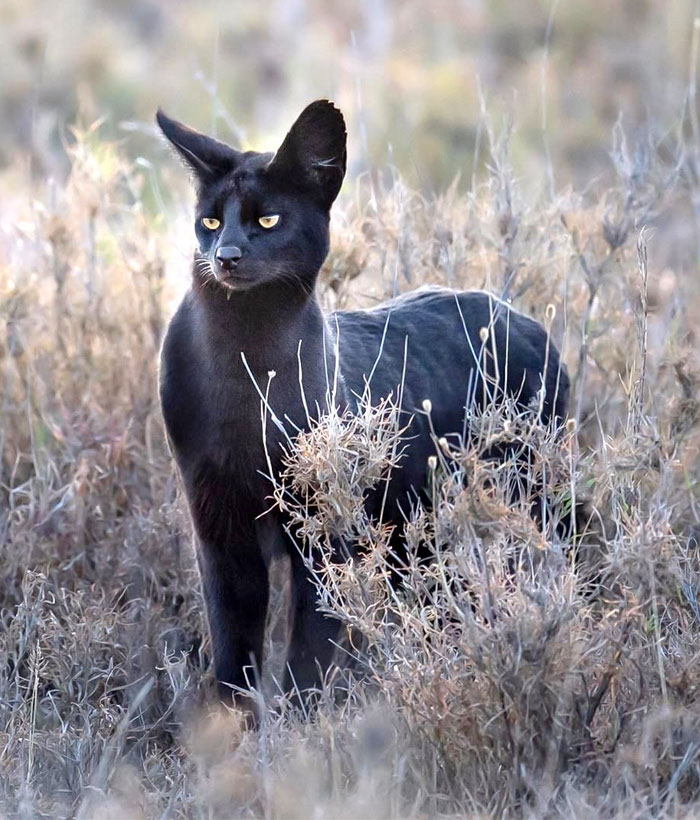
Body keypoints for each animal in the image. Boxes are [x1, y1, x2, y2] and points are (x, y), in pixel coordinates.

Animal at [154, 101, 568, 716]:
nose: (225, 255)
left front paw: (301, 727)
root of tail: (526, 320)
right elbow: (232, 646)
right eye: (209, 221)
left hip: (526, 499)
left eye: (268, 221)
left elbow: (310, 645)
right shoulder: (218, 526)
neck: (244, 361)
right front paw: (227, 729)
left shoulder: (323, 533)